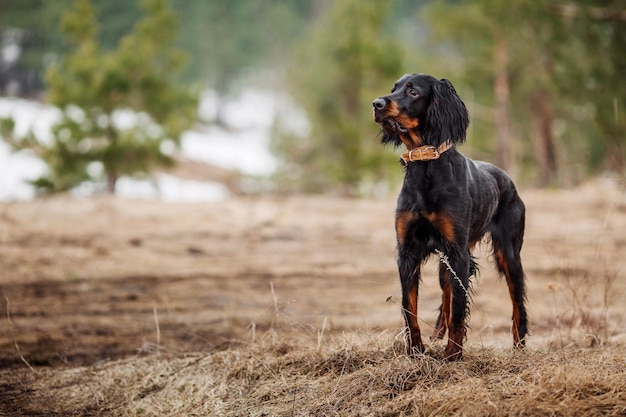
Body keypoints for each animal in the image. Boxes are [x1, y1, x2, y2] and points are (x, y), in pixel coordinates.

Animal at [372, 73, 524, 360]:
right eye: (393, 88)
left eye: (412, 92)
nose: (376, 104)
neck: (426, 165)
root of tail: (507, 178)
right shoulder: (408, 252)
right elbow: (410, 308)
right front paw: (416, 351)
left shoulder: (458, 252)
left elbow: (459, 307)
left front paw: (453, 354)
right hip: (448, 261)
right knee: (446, 294)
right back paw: (436, 335)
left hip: (508, 254)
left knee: (517, 299)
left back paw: (520, 344)